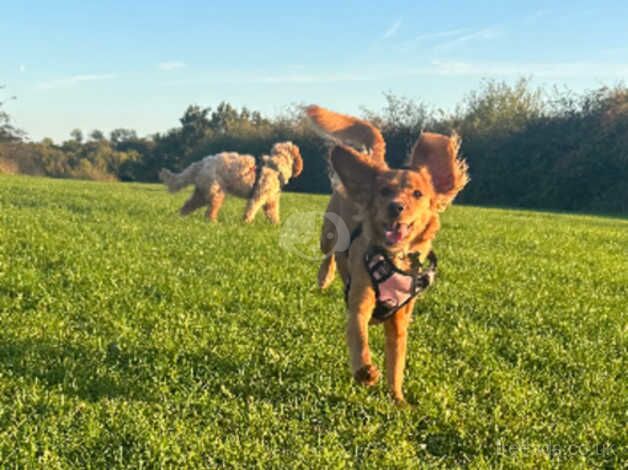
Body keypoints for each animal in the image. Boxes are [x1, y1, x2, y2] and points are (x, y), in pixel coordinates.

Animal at [158, 141, 302, 224]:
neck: (274, 166)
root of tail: (201, 163)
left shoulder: (271, 201)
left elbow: (273, 214)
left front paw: (276, 225)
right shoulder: (258, 196)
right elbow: (251, 209)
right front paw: (246, 222)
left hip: (201, 194)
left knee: (187, 205)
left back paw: (179, 218)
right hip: (217, 193)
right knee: (209, 212)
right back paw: (213, 222)